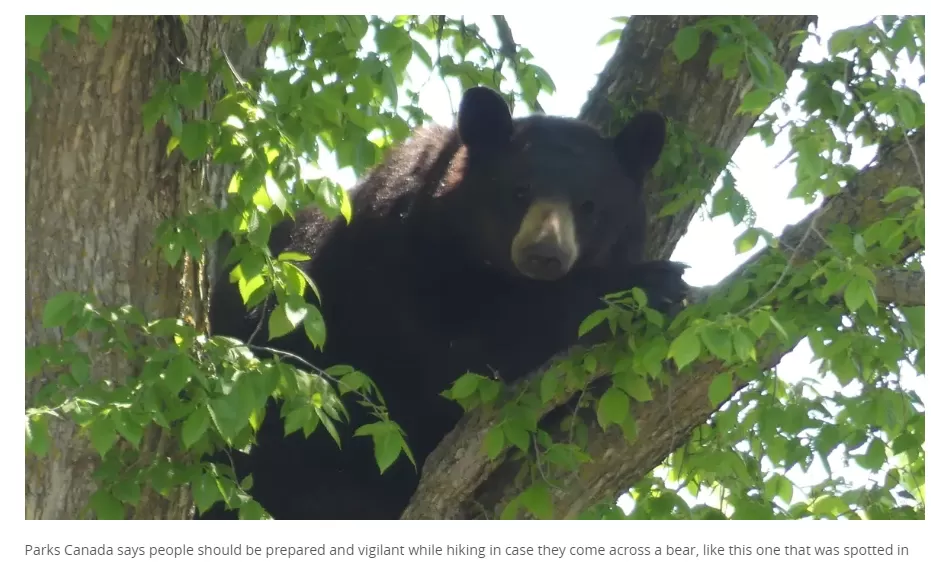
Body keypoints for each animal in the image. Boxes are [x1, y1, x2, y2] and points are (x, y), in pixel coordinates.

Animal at [199, 86, 688, 521]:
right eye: (519, 191)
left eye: (589, 205)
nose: (544, 254)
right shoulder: (394, 264)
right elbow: (457, 352)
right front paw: (652, 283)